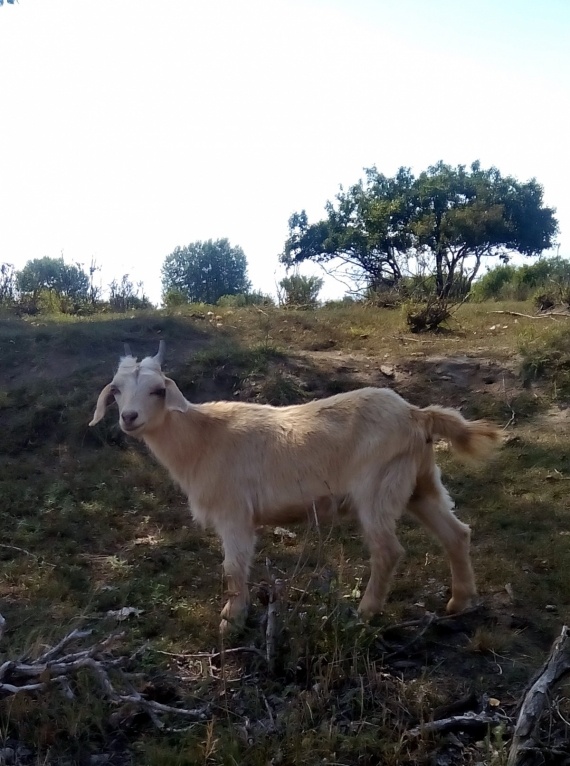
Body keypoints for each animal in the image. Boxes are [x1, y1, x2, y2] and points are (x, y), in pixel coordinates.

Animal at [87, 344, 496, 632]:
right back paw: (459, 602)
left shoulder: (234, 512)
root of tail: (417, 414)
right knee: (457, 533)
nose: (129, 418)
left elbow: (233, 568)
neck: (202, 438)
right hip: (419, 484)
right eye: (117, 390)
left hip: (377, 487)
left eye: (158, 390)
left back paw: (365, 612)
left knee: (388, 550)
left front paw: (231, 620)